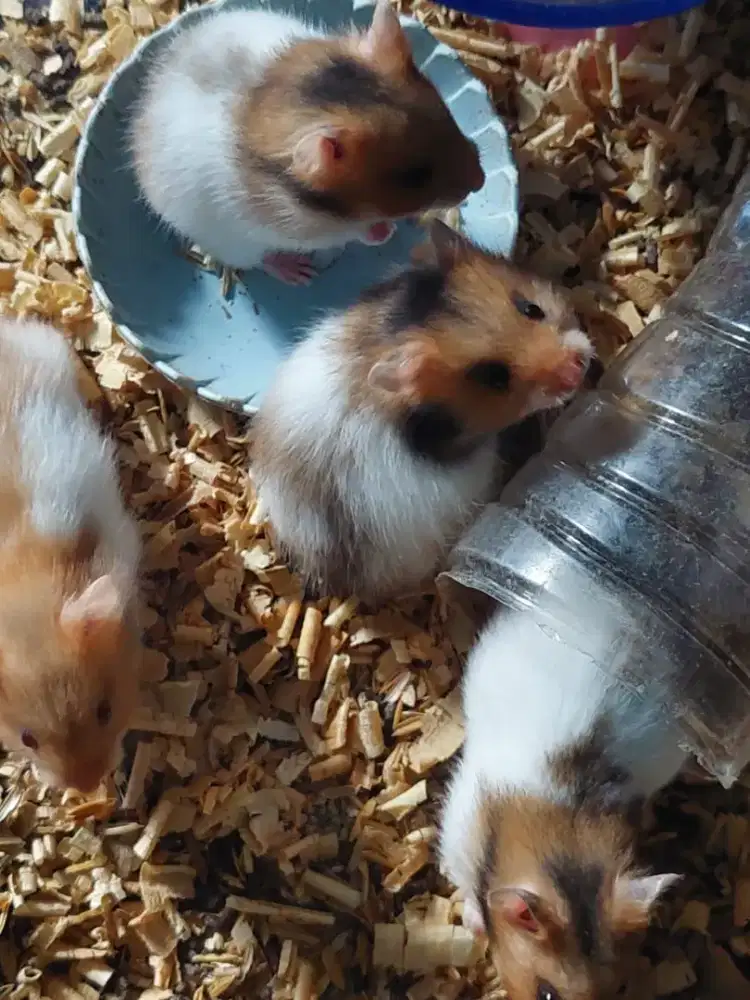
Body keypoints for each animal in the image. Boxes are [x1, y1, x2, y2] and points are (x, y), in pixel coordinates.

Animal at [129, 0, 485, 285]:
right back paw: (298, 273)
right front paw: (384, 231)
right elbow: (357, 232)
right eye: (413, 176)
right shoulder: (300, 229)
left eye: (446, 113)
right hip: (233, 243)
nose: (481, 182)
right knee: (261, 260)